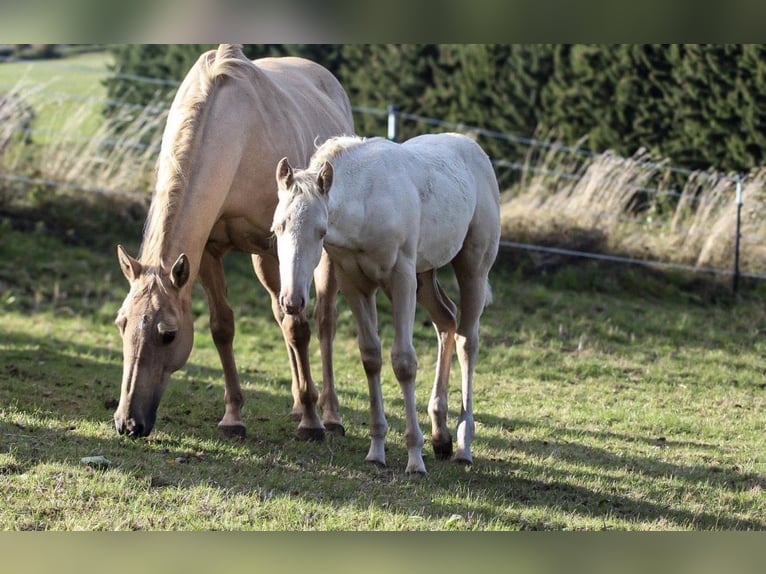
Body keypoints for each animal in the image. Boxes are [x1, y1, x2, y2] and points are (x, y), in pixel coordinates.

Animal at [113, 44, 354, 441]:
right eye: (122, 324)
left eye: (169, 334)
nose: (128, 423)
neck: (237, 135)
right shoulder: (208, 253)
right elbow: (222, 327)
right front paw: (233, 417)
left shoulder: (280, 248)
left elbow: (298, 327)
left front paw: (311, 421)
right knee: (279, 313)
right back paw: (295, 403)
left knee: (323, 320)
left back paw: (329, 413)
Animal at [272, 133, 500, 474]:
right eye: (277, 227)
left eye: (321, 231)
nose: (292, 300)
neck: (367, 200)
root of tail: (475, 150)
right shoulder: (354, 284)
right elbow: (371, 357)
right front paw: (376, 451)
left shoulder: (401, 277)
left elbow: (404, 362)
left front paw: (414, 458)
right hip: (425, 275)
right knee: (446, 320)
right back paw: (440, 436)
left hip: (471, 267)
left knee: (467, 340)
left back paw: (463, 446)